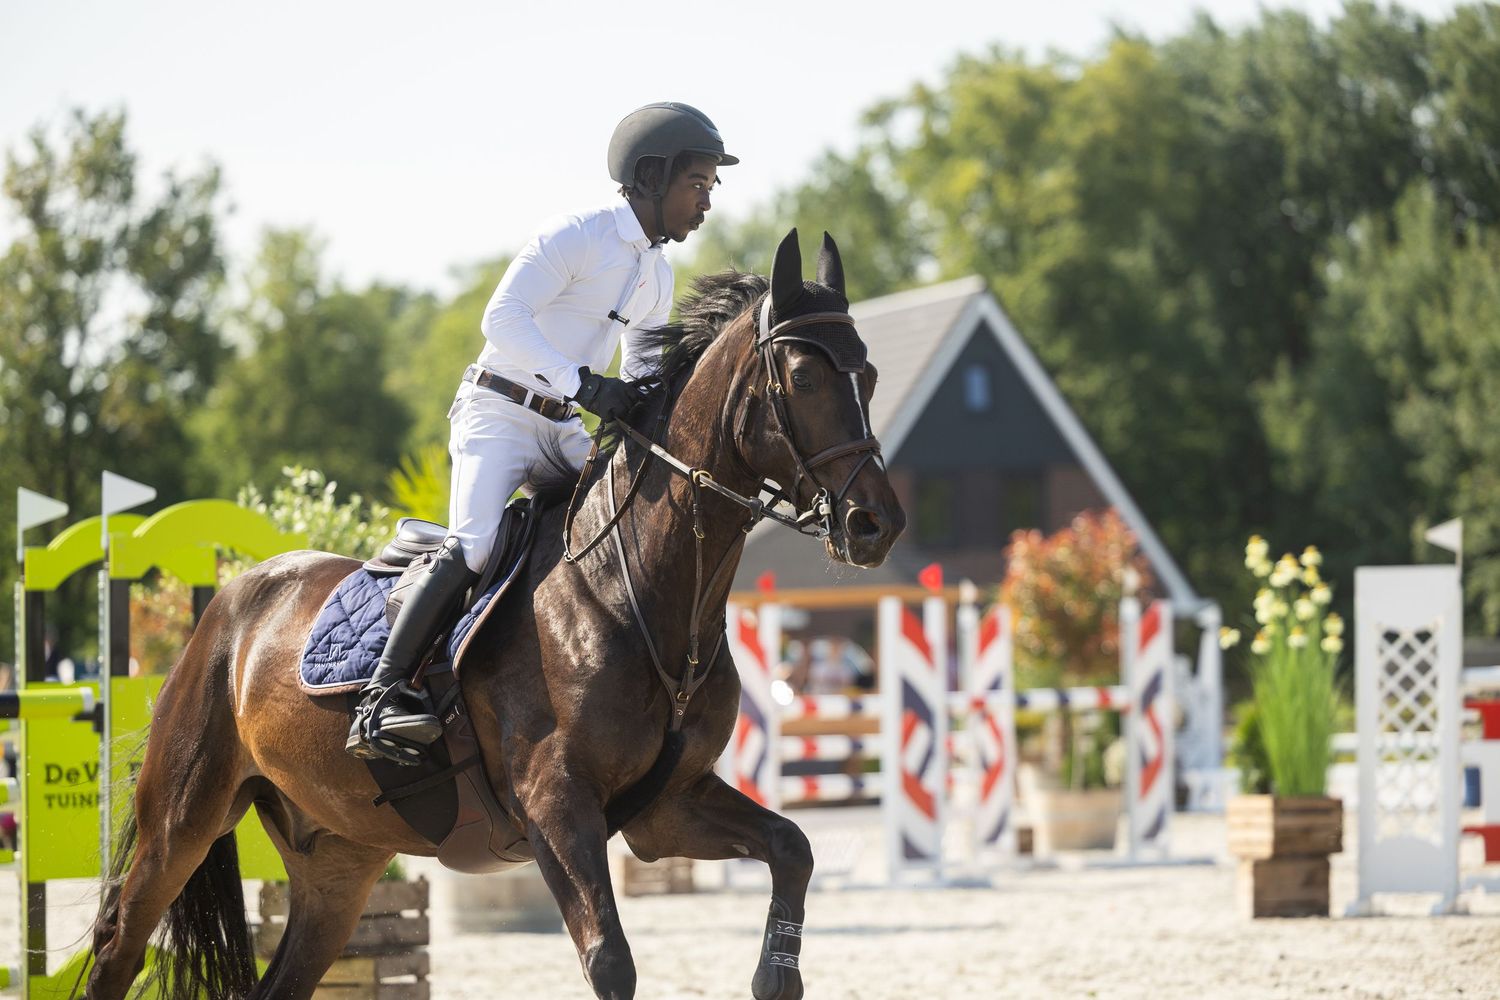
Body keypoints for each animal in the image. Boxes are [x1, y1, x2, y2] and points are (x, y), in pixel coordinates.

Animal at [79, 228, 905, 1000]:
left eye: (867, 374)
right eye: (803, 376)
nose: (877, 524)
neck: (634, 593)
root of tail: (228, 603)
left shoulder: (667, 808)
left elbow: (793, 848)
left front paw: (775, 973)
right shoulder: (557, 808)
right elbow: (611, 962)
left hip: (339, 859)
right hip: (182, 821)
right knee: (118, 939)